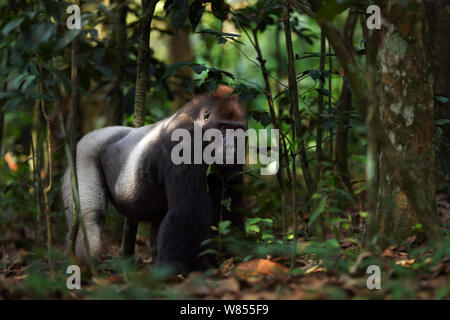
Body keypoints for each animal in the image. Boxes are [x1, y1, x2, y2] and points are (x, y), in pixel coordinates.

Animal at [62, 84, 246, 272]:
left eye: (238, 130)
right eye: (223, 127)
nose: (232, 146)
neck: (198, 124)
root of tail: (91, 135)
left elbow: (228, 209)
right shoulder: (183, 142)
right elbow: (186, 213)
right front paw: (189, 270)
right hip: (83, 153)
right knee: (89, 218)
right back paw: (86, 267)